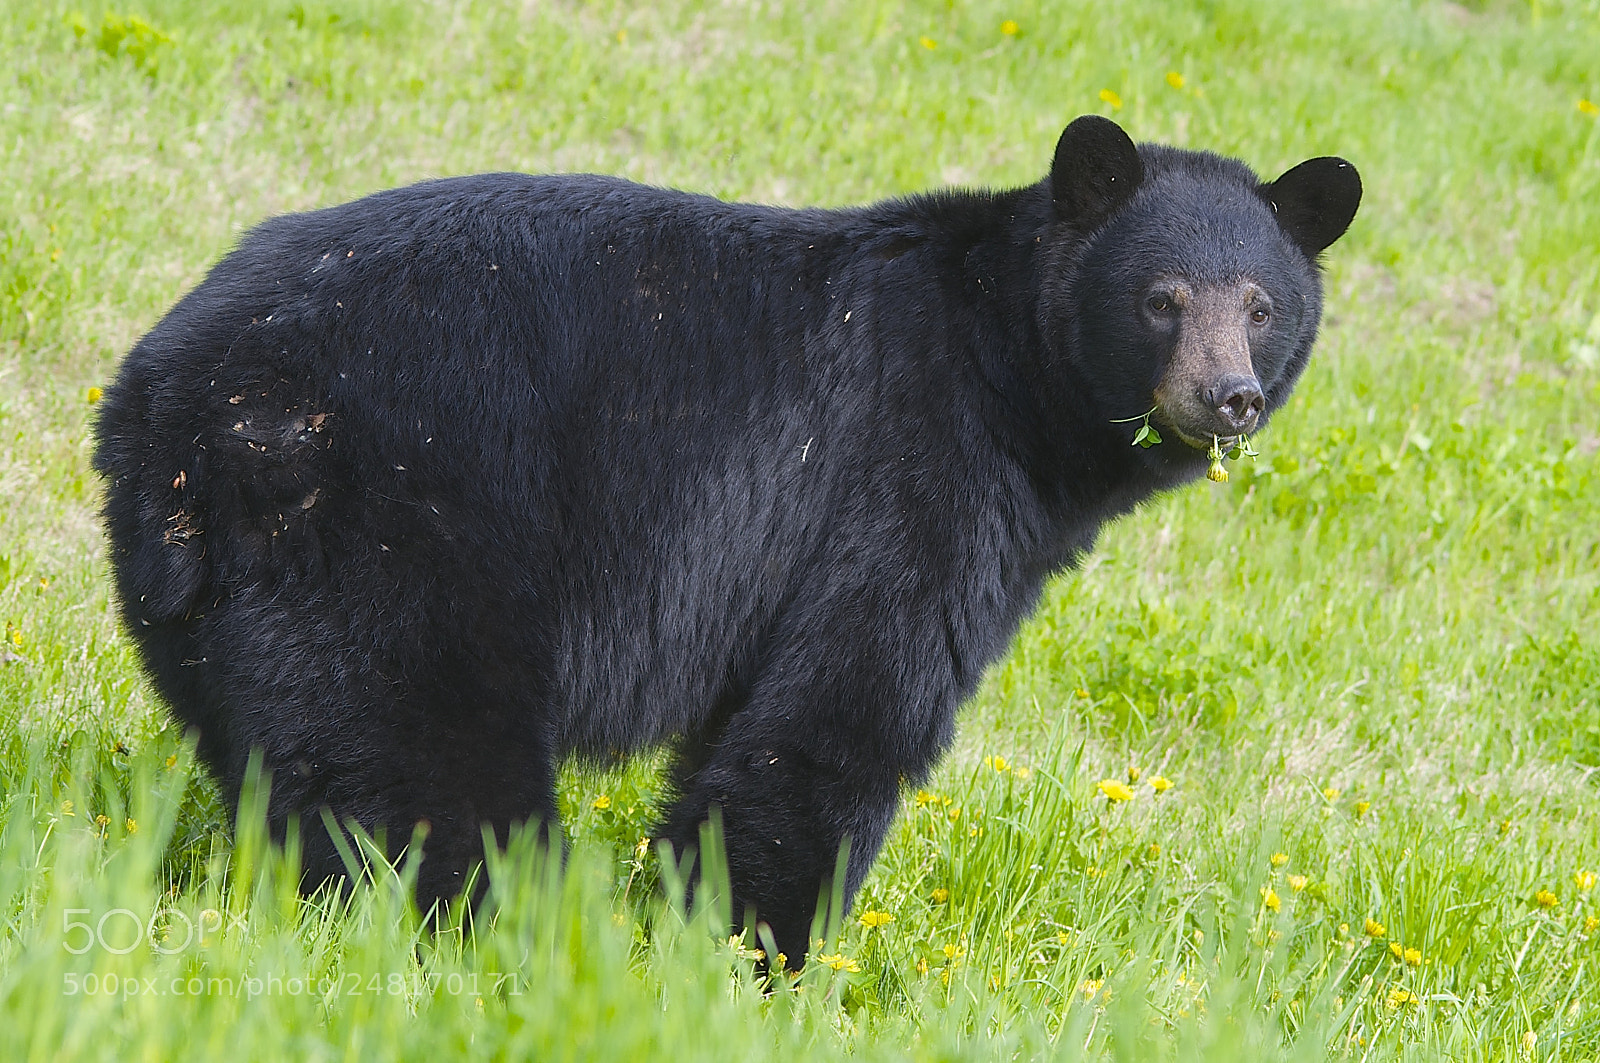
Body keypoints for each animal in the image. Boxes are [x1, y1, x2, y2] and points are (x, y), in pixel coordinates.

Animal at [93, 115, 1359, 967]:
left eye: (1260, 305)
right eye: (1161, 297)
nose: (1229, 397)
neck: (1005, 370)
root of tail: (168, 406)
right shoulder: (906, 478)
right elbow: (836, 717)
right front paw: (765, 959)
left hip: (220, 599)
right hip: (397, 534)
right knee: (427, 772)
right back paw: (507, 934)